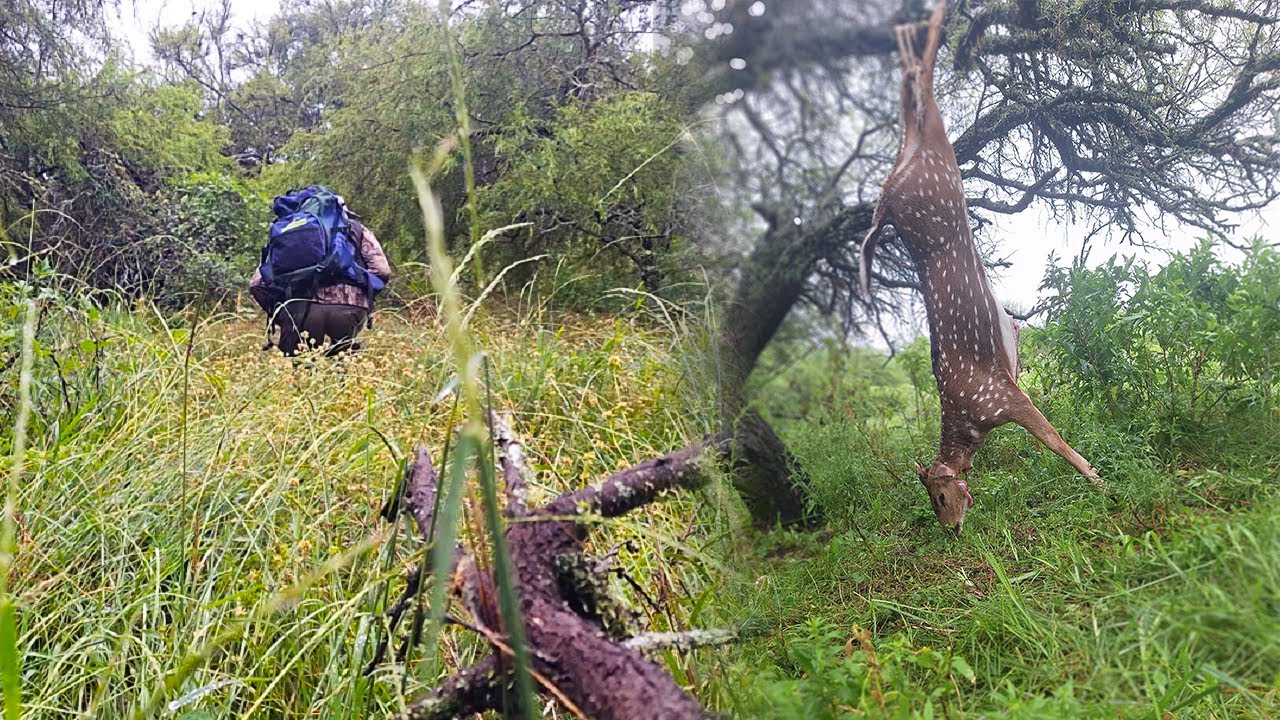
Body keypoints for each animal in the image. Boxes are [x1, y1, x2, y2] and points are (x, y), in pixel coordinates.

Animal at [859, 0, 1099, 535]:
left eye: (939, 494)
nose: (950, 529)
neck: (972, 427)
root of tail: (889, 193)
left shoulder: (1004, 397)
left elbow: (1052, 439)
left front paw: (1096, 476)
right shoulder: (1010, 384)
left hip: (929, 173)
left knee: (918, 88)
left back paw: (927, 23)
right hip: (922, 168)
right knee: (913, 88)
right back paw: (915, 26)